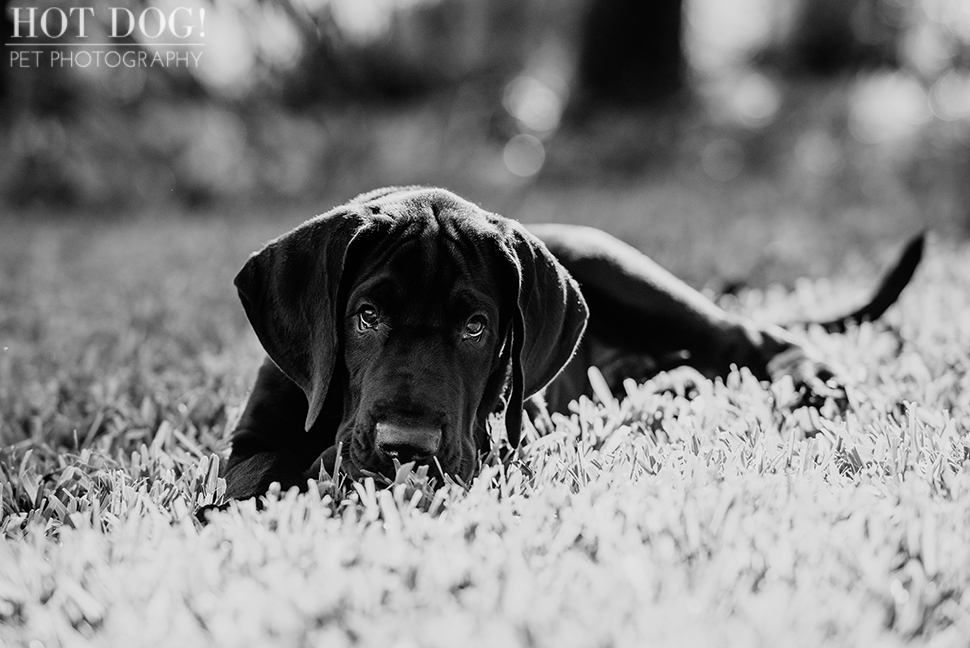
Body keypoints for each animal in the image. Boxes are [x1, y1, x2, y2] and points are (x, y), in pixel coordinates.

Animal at [221, 185, 924, 498]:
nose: (409, 447)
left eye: (476, 328)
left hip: (633, 279)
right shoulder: (247, 446)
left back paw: (814, 384)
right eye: (365, 317)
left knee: (747, 335)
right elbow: (264, 473)